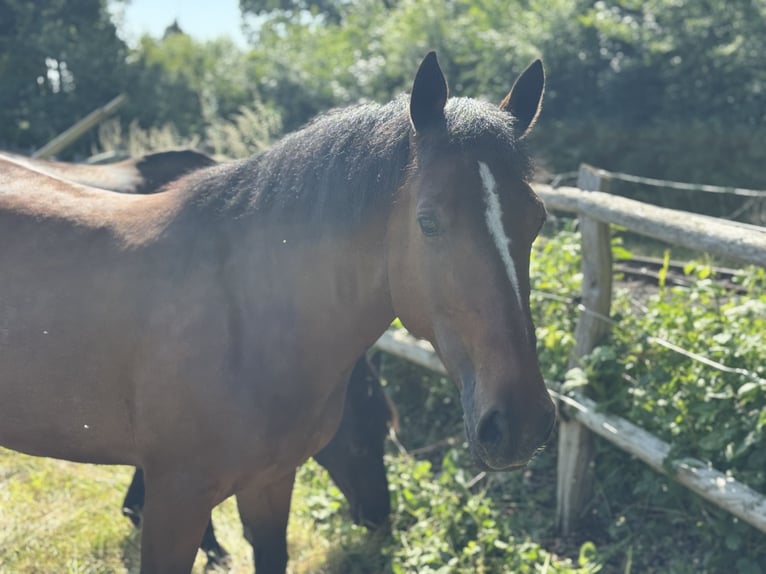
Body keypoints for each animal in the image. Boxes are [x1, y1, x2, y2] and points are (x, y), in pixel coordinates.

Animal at [0, 52, 556, 573]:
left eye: (537, 220)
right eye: (429, 222)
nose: (523, 423)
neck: (245, 321)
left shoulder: (269, 484)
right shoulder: (175, 501)